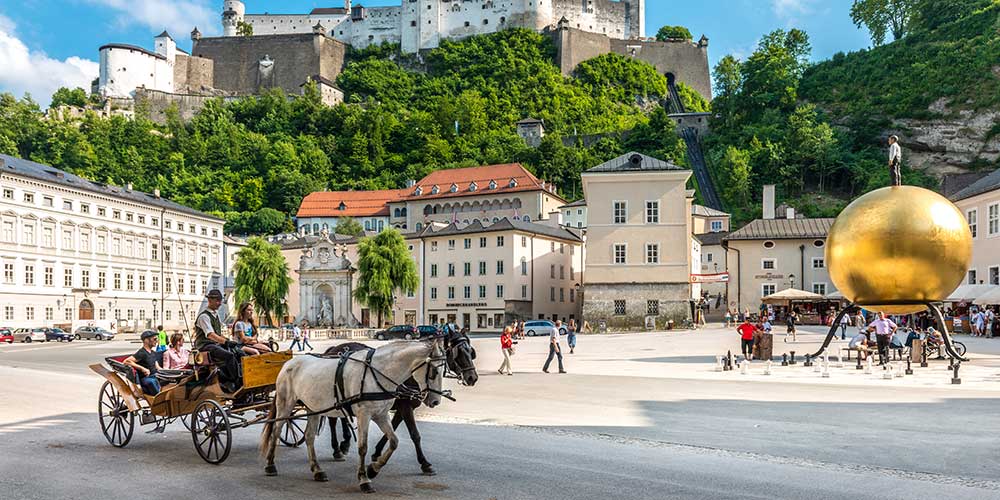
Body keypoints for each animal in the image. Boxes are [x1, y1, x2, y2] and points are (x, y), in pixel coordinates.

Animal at [262, 338, 446, 494]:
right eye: (434, 371)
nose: (435, 401)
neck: (378, 372)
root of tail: (289, 362)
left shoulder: (381, 415)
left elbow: (394, 441)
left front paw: (373, 469)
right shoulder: (365, 414)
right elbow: (363, 447)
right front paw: (364, 479)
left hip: (312, 407)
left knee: (309, 436)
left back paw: (317, 469)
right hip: (285, 404)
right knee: (276, 430)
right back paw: (271, 464)